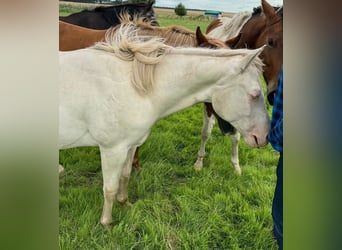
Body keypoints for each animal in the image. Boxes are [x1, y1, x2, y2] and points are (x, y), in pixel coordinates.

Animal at [59, 23, 270, 227]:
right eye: (255, 94)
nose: (264, 136)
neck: (134, 86)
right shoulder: (112, 149)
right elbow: (109, 188)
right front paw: (107, 223)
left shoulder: (130, 145)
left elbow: (125, 175)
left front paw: (125, 202)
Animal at [192, 0, 284, 174]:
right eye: (270, 42)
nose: (278, 96)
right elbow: (205, 132)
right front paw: (199, 162)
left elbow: (236, 137)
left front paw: (236, 166)